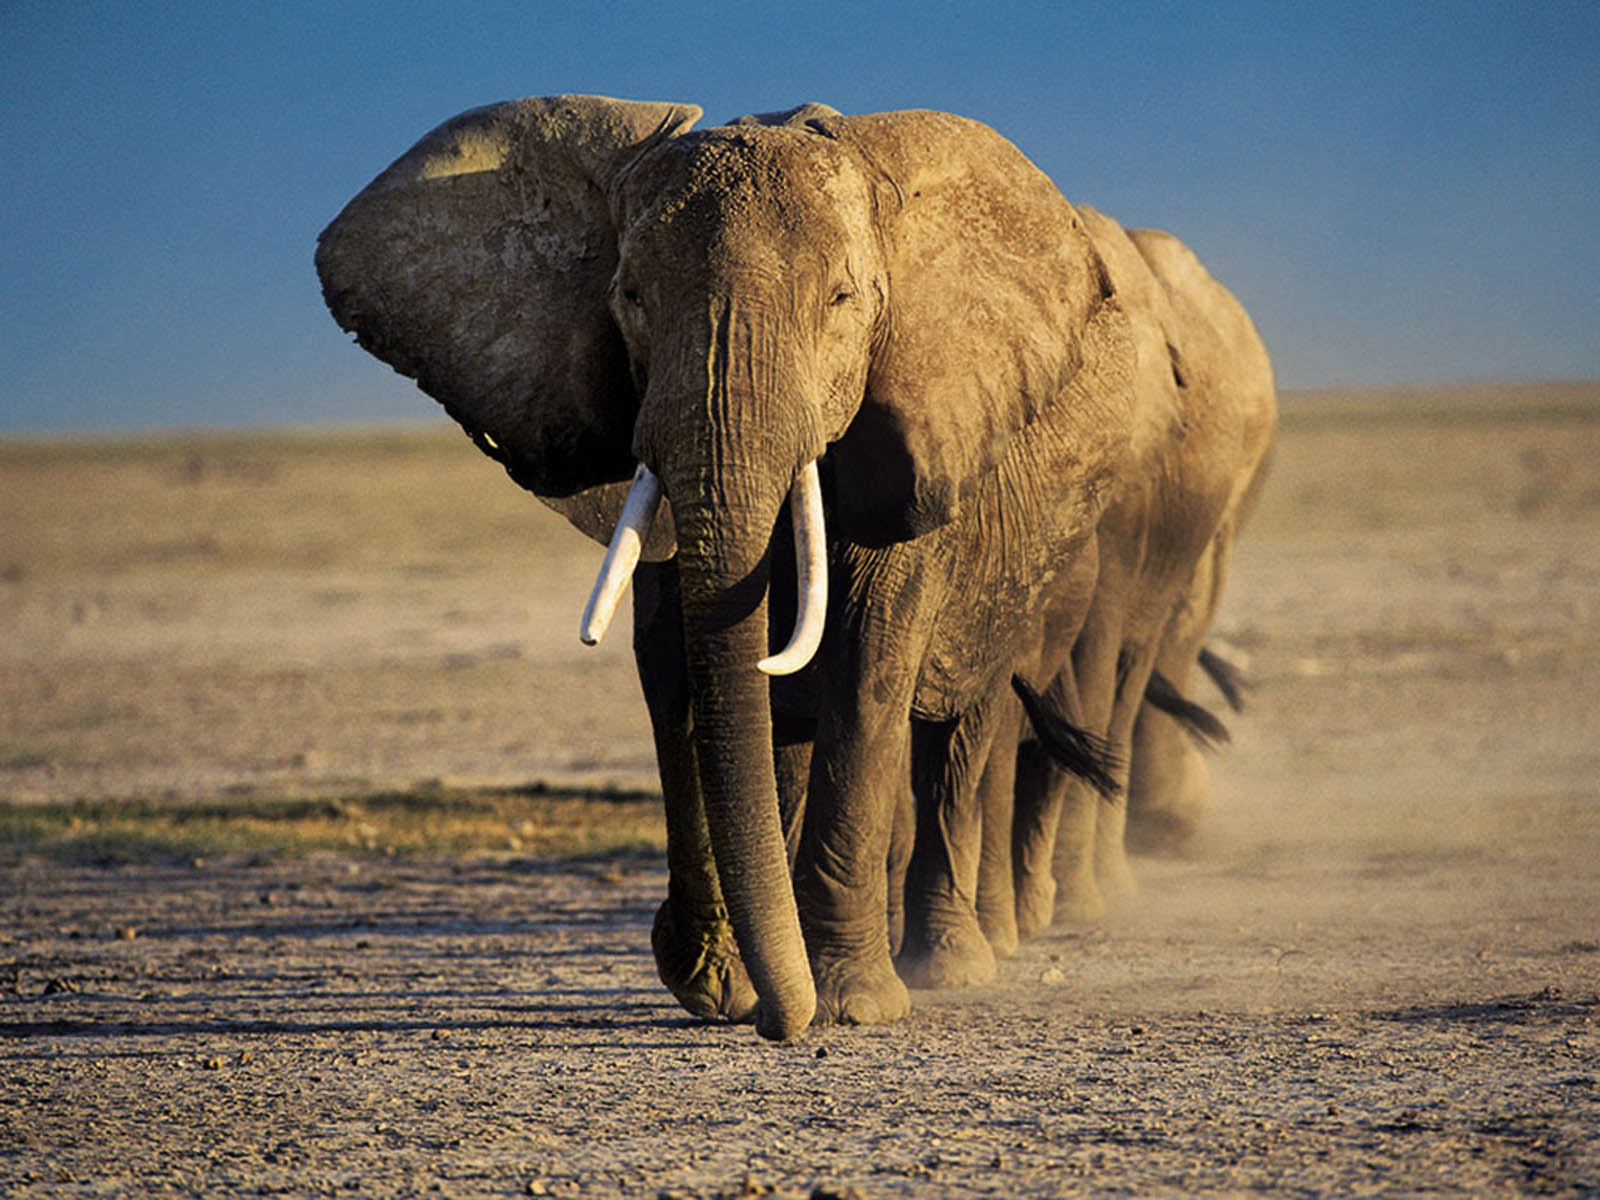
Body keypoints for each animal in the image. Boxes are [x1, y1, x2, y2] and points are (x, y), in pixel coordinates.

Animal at [318, 94, 1267, 1036]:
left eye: (843, 299)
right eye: (629, 296)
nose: (778, 1018)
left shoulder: (922, 424)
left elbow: (868, 654)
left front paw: (849, 1004)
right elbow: (677, 662)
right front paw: (716, 983)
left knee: (976, 719)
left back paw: (959, 962)